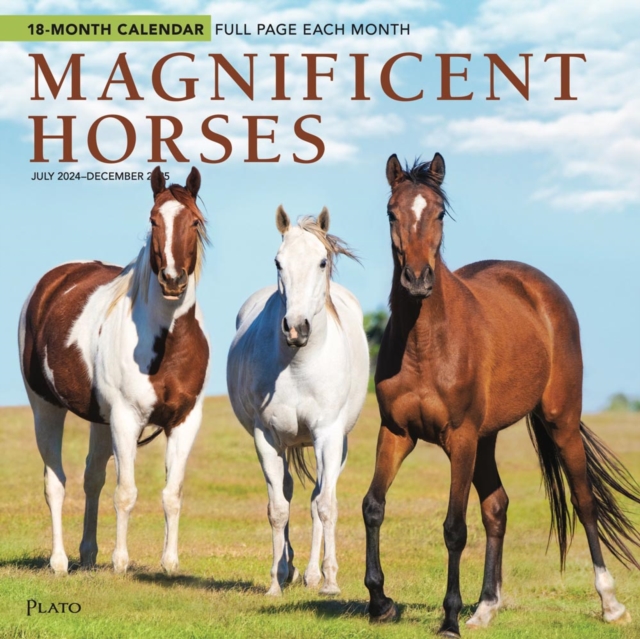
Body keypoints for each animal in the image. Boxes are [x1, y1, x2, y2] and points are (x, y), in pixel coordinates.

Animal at [18, 167, 210, 575]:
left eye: (195, 221)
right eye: (153, 220)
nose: (172, 279)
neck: (167, 344)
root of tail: (52, 281)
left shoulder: (185, 420)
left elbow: (171, 493)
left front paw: (170, 563)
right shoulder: (126, 417)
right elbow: (125, 492)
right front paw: (120, 562)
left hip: (100, 420)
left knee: (92, 477)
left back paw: (88, 554)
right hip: (46, 409)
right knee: (55, 482)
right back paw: (60, 561)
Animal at [227, 206, 369, 596]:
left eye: (322, 261)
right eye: (278, 262)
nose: (295, 328)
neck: (297, 365)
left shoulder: (328, 435)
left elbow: (325, 506)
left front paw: (330, 582)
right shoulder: (266, 437)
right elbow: (278, 508)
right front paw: (275, 582)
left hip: (338, 444)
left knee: (320, 495)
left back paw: (313, 574)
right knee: (290, 493)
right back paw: (290, 571)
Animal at [362, 152, 640, 636]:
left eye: (439, 213)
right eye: (391, 213)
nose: (417, 280)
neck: (426, 343)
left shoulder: (459, 438)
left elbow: (454, 528)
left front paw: (449, 618)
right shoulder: (396, 432)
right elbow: (374, 506)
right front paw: (381, 602)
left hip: (558, 421)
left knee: (584, 501)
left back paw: (610, 603)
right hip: (486, 439)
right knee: (497, 507)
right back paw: (486, 607)